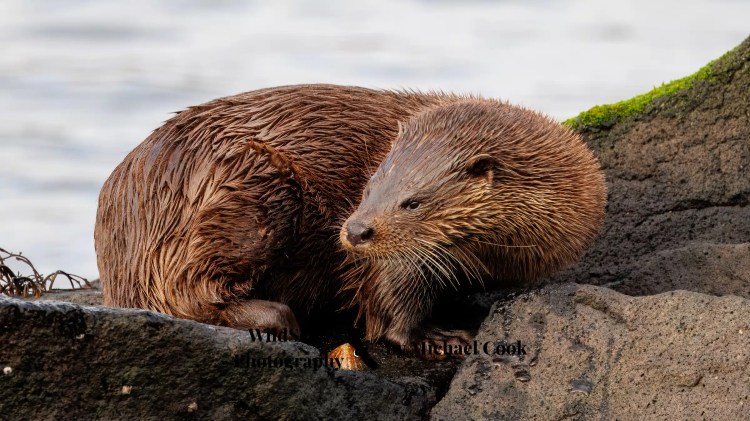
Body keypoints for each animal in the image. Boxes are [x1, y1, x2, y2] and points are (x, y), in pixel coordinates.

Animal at [95, 84, 605, 355]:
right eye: (369, 186)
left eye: (412, 201)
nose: (356, 230)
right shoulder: (395, 259)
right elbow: (388, 297)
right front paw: (434, 336)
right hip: (247, 188)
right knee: (185, 290)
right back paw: (277, 317)